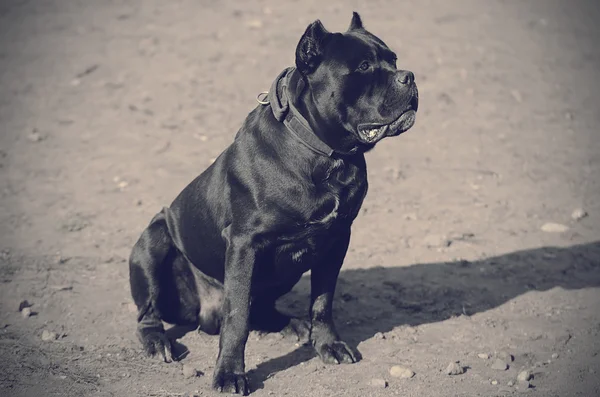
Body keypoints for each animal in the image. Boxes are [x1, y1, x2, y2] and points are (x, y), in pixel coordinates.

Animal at [127, 11, 418, 392]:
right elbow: (237, 318)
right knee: (150, 313)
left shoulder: (337, 238)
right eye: (364, 66)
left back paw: (295, 326)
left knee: (261, 309)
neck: (323, 155)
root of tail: (206, 314)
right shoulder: (244, 245)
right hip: (153, 240)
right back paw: (157, 341)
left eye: (394, 60)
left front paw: (328, 345)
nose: (409, 76)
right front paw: (230, 373)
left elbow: (322, 301)